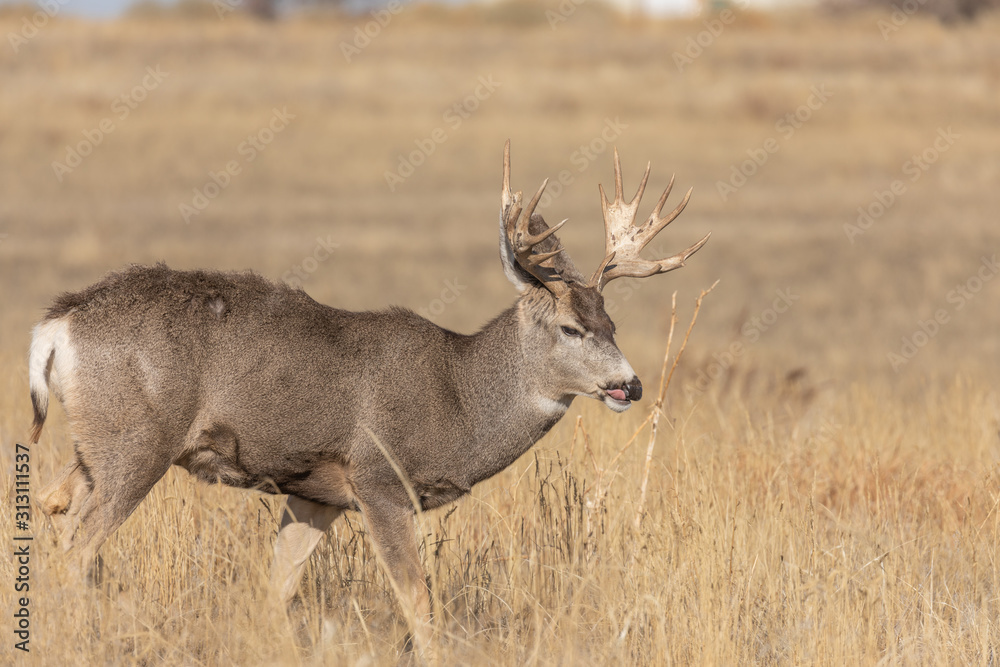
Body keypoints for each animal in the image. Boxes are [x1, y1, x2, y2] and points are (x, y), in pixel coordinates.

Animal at [28, 141, 709, 647]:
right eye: (571, 327)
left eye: (612, 322)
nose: (630, 385)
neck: (457, 397)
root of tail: (57, 325)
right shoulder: (381, 481)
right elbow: (421, 607)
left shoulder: (315, 494)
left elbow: (275, 592)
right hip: (136, 442)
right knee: (77, 547)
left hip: (97, 442)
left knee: (53, 506)